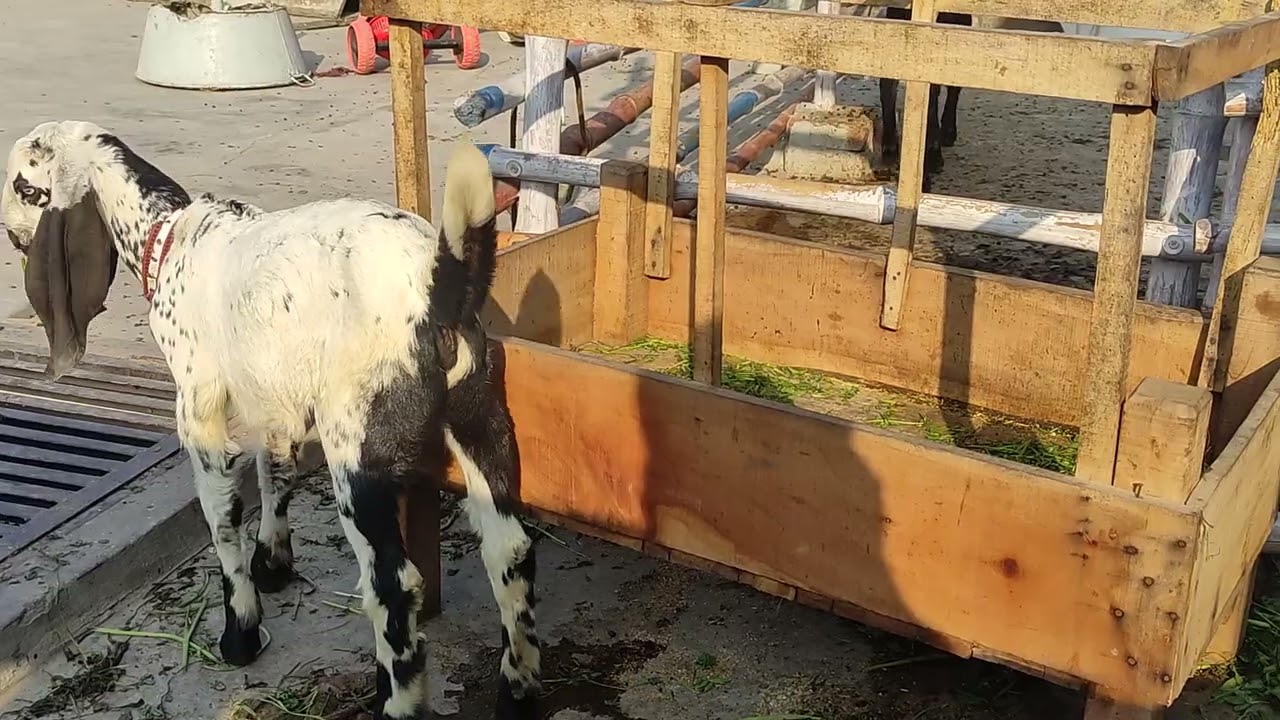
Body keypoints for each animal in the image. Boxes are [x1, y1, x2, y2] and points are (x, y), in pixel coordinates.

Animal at [2, 121, 541, 720]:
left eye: (23, 185)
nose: (10, 234)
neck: (170, 238)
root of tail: (442, 285)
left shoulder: (198, 412)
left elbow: (221, 519)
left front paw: (241, 632)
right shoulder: (274, 400)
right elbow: (274, 474)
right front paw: (274, 563)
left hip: (358, 448)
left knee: (393, 585)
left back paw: (396, 701)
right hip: (480, 416)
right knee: (509, 547)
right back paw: (516, 688)